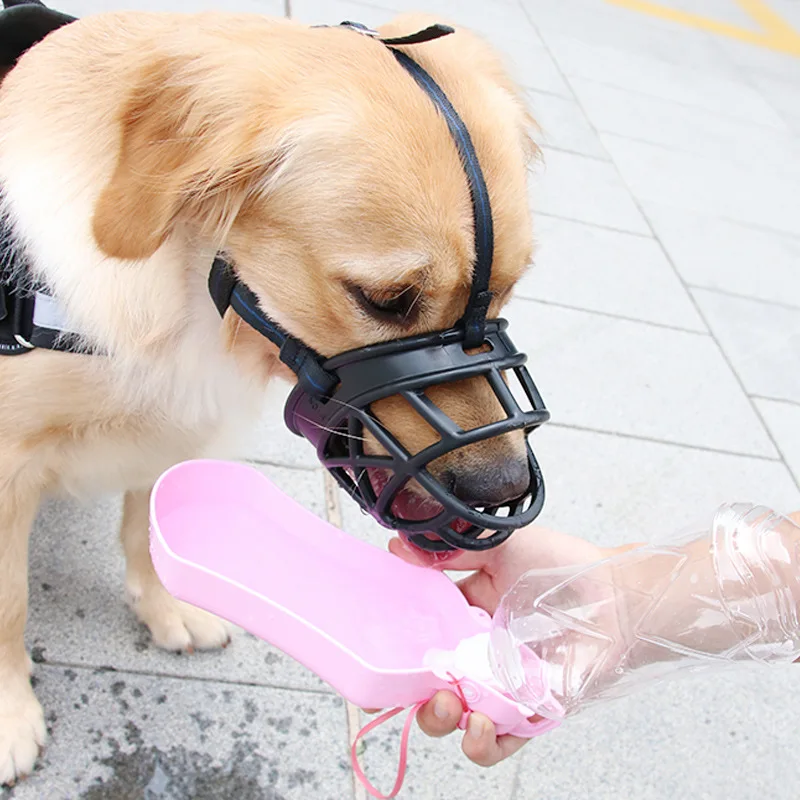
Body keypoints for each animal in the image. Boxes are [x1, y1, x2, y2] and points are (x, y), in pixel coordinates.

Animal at [0, 9, 536, 784]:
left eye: (507, 289)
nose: (504, 488)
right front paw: (10, 713)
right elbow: (8, 600)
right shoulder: (9, 462)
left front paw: (166, 602)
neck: (186, 287)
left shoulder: (172, 428)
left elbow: (145, 526)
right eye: (387, 300)